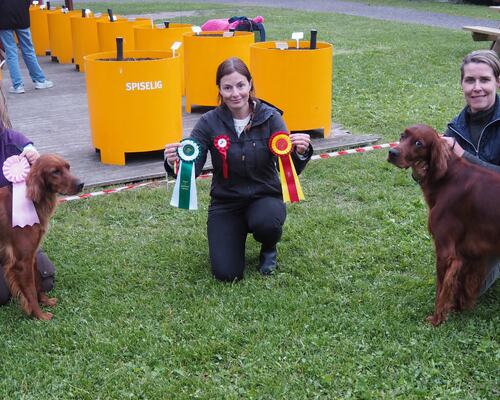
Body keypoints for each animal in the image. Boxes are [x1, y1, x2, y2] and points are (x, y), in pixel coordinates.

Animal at [0, 155, 83, 320]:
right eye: (55, 171)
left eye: (68, 167)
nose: (81, 184)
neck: (30, 201)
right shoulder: (22, 262)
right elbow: (30, 291)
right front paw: (40, 316)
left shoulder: (32, 256)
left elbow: (37, 283)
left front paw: (45, 301)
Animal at [388, 124, 500, 324]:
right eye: (402, 136)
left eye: (418, 143)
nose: (392, 152)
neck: (446, 177)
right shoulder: (467, 253)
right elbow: (459, 285)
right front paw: (457, 308)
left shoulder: (445, 251)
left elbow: (441, 288)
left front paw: (436, 319)